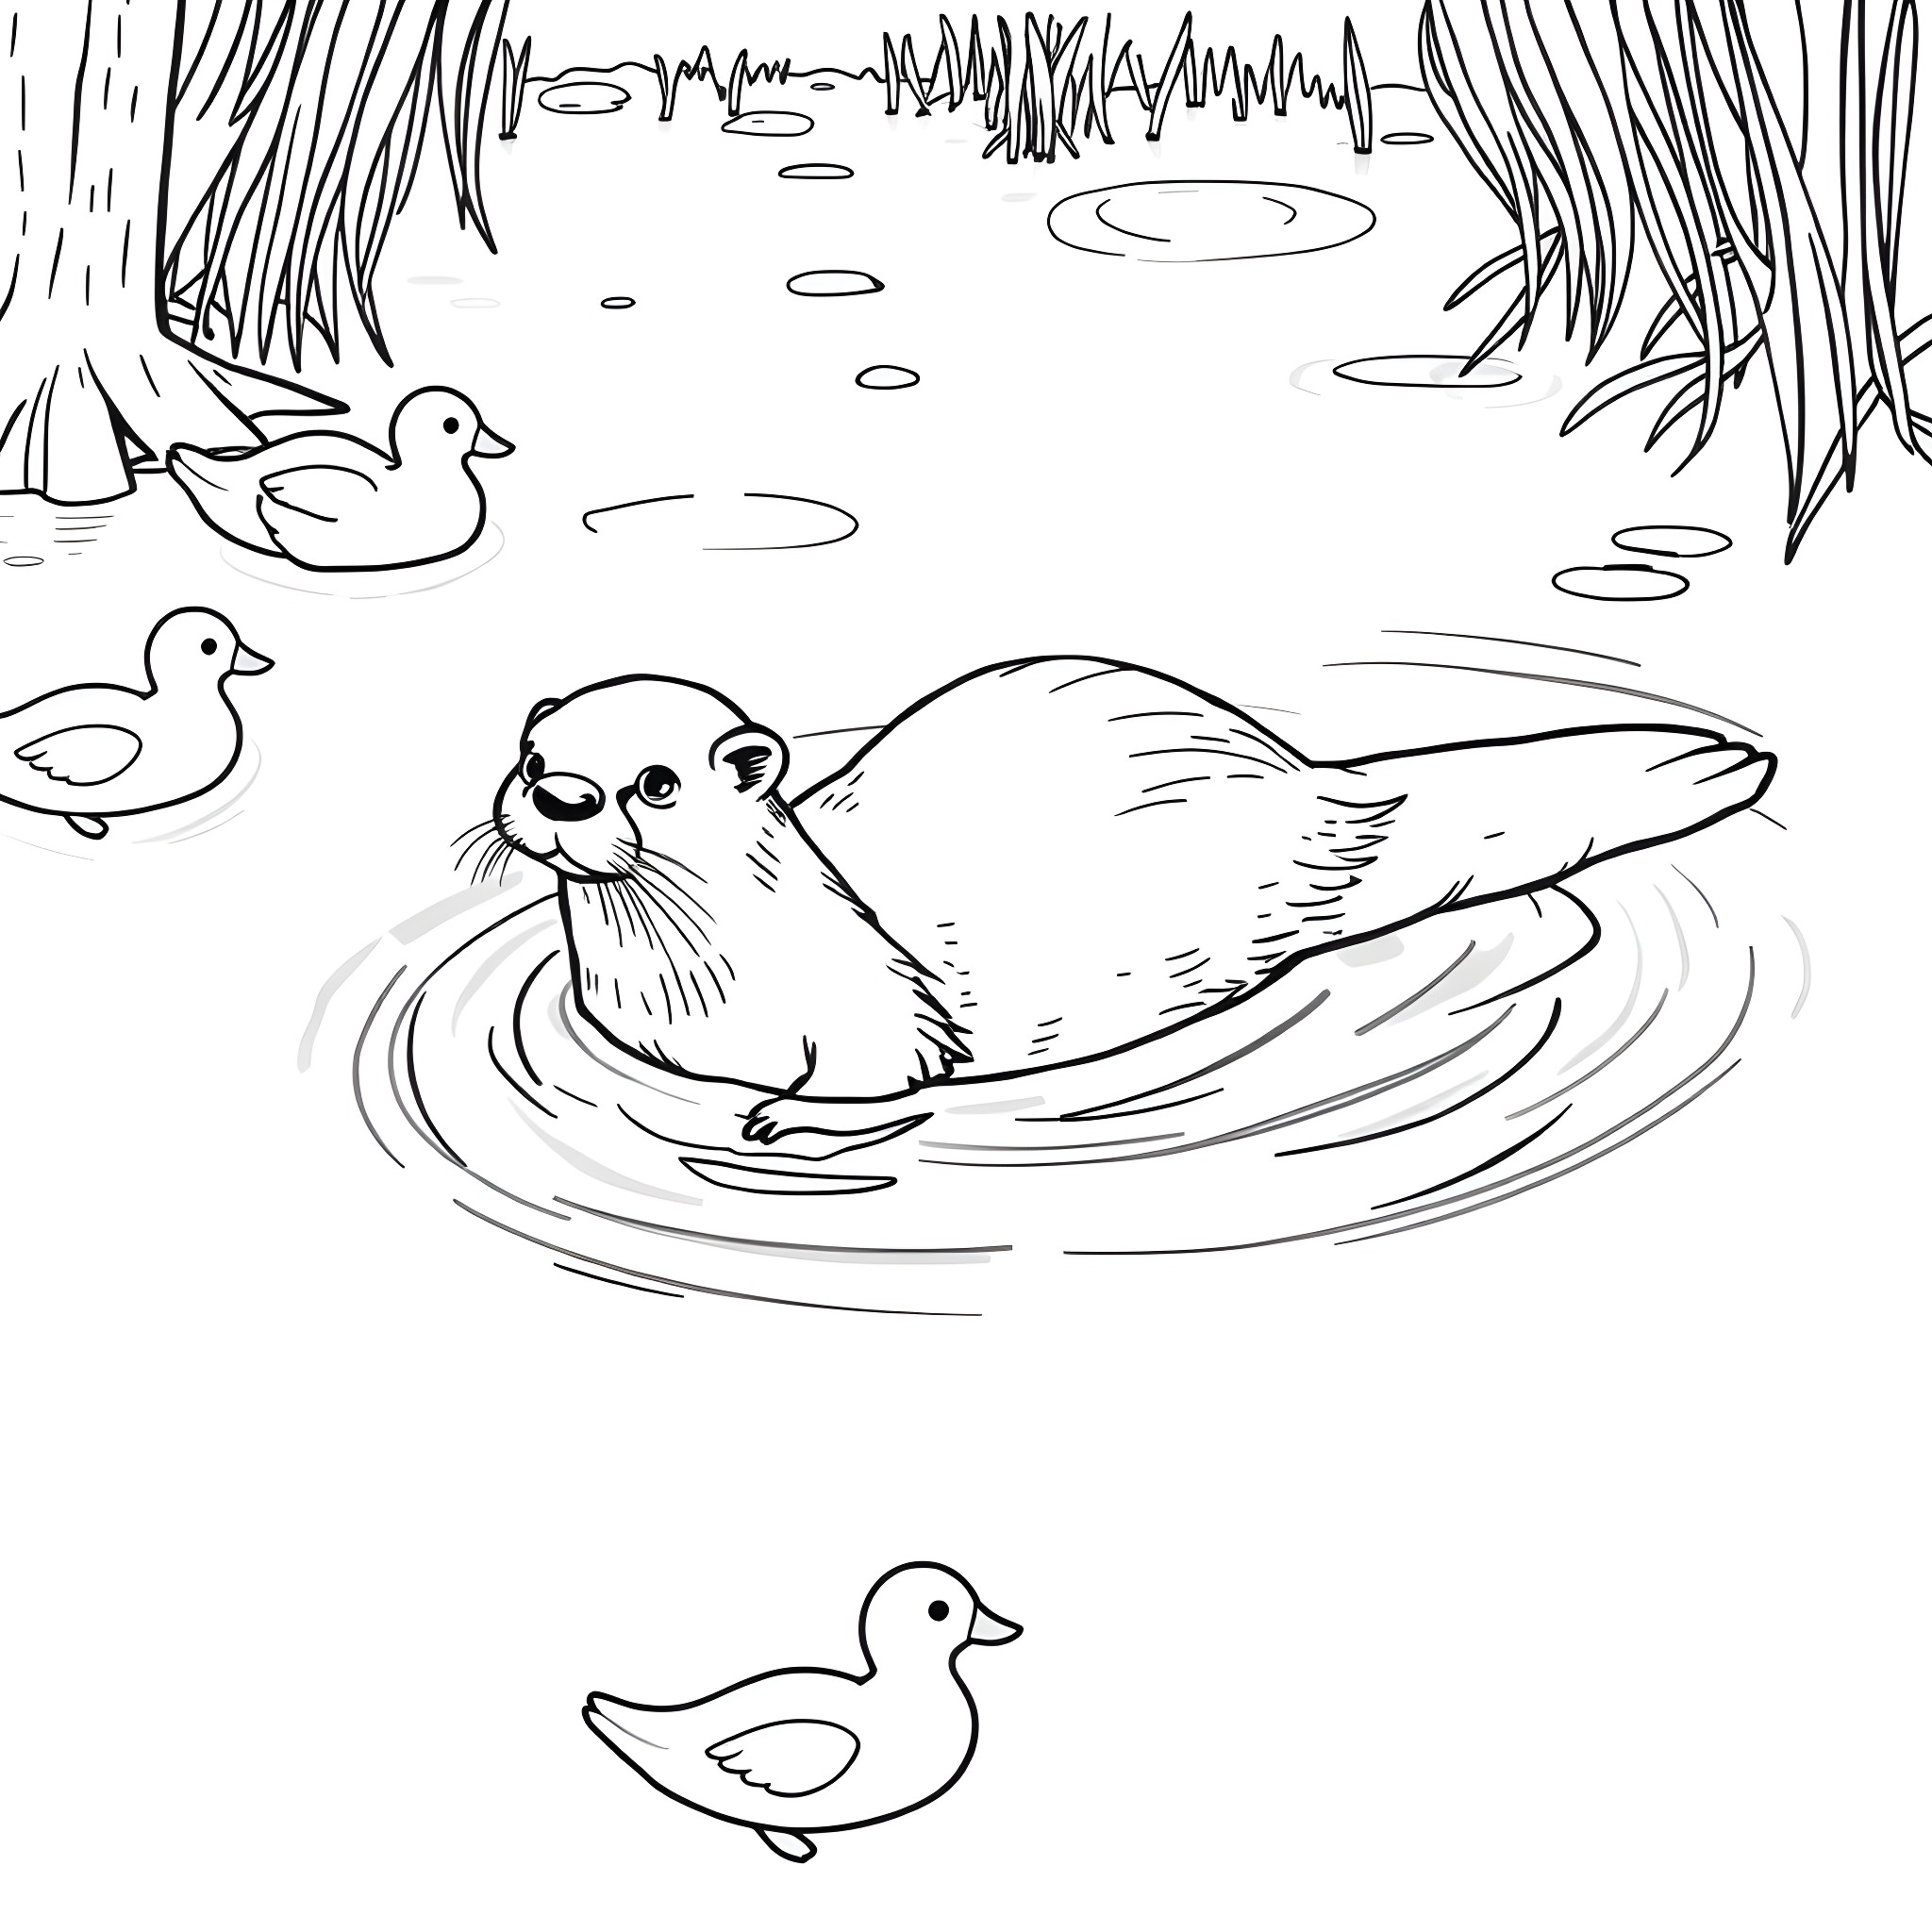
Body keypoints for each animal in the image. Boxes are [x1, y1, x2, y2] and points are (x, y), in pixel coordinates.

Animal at [491, 657, 1774, 1142]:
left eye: (656, 781)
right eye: (531, 748)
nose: (557, 796)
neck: (693, 989)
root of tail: (1325, 794)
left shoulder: (875, 1010)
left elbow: (879, 1083)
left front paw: (787, 1119)